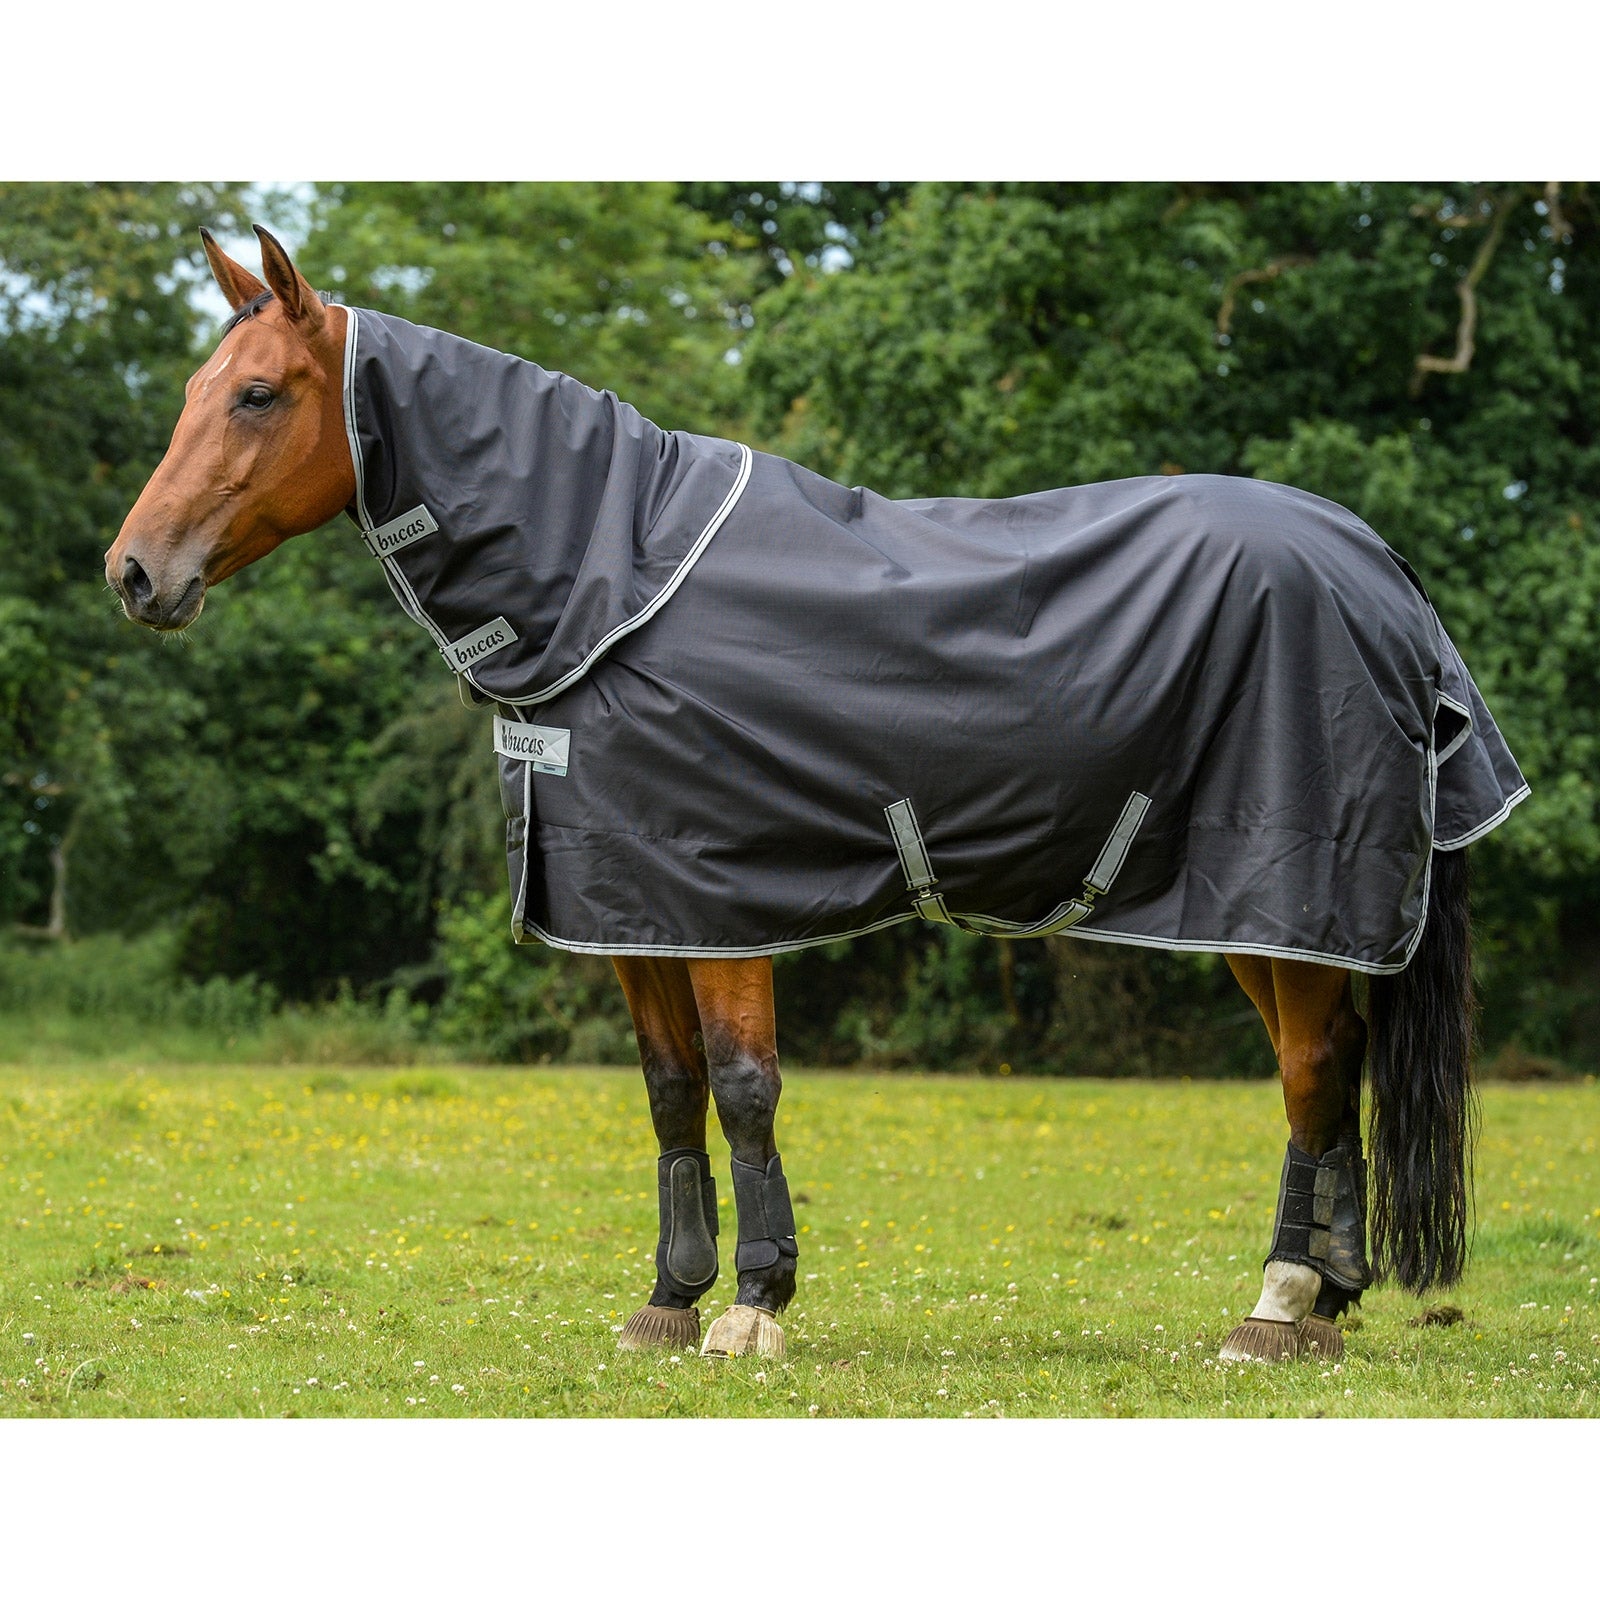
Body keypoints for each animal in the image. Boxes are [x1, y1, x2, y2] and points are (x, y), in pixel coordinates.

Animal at [107, 225, 1527, 1366]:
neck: (613, 575)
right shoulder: (632, 908)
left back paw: (1277, 1307)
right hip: (1254, 909)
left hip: (1280, 887)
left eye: (256, 392)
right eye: (189, 392)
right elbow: (669, 1090)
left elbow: (743, 1085)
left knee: (1311, 1067)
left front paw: (755, 1305)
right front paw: (666, 1301)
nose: (133, 573)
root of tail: (1382, 567)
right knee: (1328, 1063)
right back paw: (1321, 1301)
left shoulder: (721, 898)